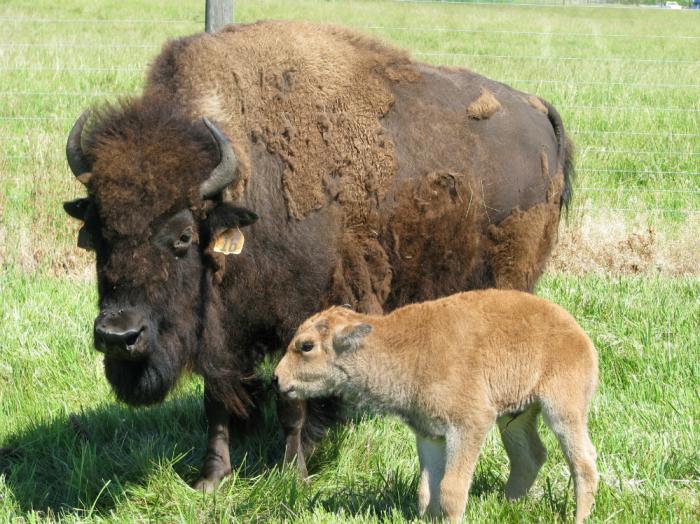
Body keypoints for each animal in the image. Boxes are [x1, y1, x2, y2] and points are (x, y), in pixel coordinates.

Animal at [63, 20, 572, 492]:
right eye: (97, 232)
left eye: (184, 235)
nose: (118, 336)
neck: (245, 184)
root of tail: (535, 108)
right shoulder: (226, 335)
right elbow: (217, 401)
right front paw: (212, 478)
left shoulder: (296, 318)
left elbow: (290, 400)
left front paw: (292, 473)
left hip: (511, 275)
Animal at [276, 288, 600, 520]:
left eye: (306, 346)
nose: (278, 378)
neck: (401, 347)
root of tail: (576, 331)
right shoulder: (430, 434)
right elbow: (426, 491)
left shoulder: (469, 426)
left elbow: (450, 490)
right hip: (515, 418)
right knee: (529, 457)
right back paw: (508, 505)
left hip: (563, 410)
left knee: (583, 462)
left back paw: (578, 517)